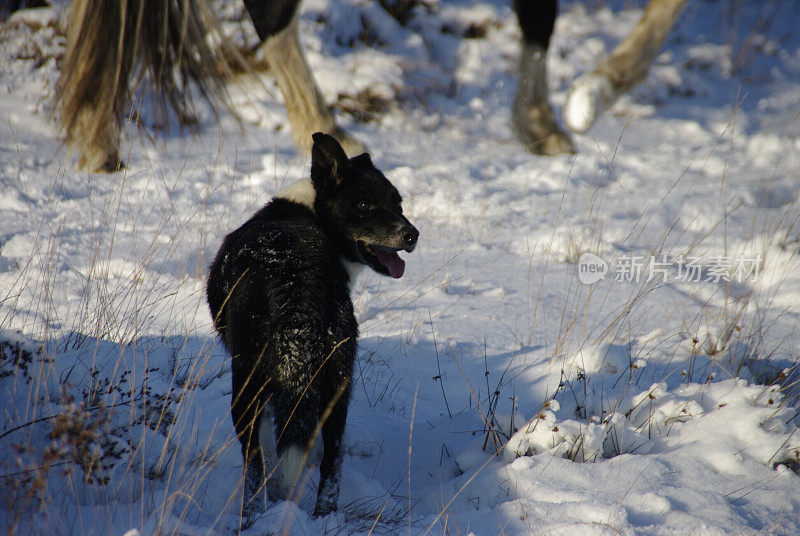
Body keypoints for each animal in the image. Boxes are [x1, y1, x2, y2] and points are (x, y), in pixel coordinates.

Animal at [206, 133, 418, 520]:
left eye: (396, 203)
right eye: (365, 204)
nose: (413, 235)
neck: (313, 213)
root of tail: (297, 276)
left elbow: (268, 448)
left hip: (245, 381)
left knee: (254, 465)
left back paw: (252, 517)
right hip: (339, 379)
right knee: (332, 463)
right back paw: (324, 518)